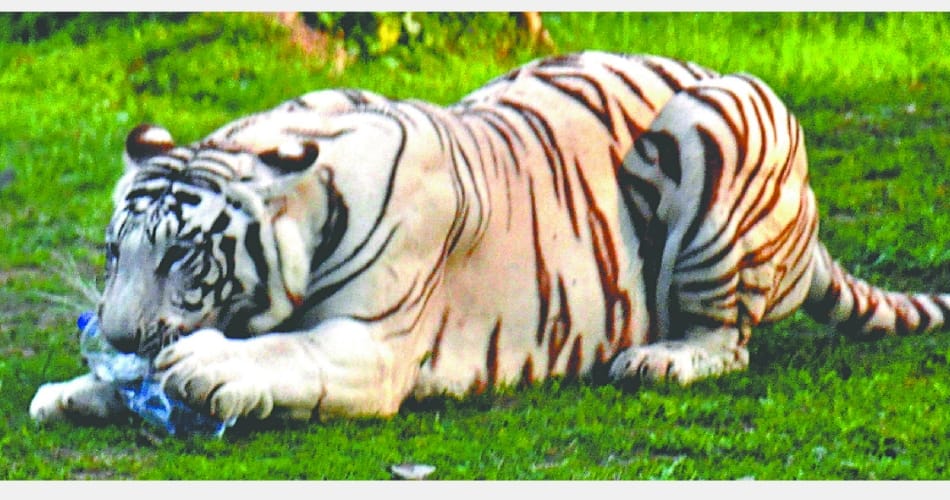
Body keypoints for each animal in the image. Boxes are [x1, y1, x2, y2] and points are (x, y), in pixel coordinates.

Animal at [30, 51, 950, 426]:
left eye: (183, 255)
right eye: (115, 252)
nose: (117, 335)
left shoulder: (373, 346)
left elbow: (287, 352)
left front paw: (206, 368)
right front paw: (77, 391)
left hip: (711, 126)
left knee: (729, 341)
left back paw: (662, 359)